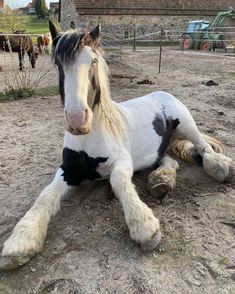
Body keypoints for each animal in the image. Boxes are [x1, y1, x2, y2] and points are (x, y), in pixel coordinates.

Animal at [0, 20, 234, 268]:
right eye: (58, 63)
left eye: (93, 61)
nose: (77, 121)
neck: (90, 138)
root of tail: (162, 93)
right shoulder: (68, 170)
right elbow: (45, 196)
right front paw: (22, 240)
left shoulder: (123, 161)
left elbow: (118, 180)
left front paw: (144, 226)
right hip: (160, 147)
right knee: (170, 160)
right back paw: (161, 180)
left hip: (186, 123)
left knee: (203, 147)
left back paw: (220, 167)